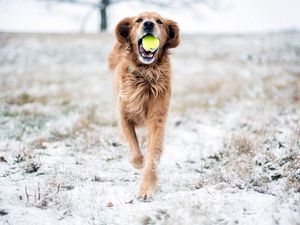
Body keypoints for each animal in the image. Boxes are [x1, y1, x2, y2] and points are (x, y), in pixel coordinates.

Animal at [108, 11, 179, 200]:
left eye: (159, 21)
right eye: (138, 20)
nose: (148, 24)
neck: (146, 73)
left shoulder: (157, 119)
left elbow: (153, 153)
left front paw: (147, 187)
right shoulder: (124, 117)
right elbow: (134, 148)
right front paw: (139, 162)